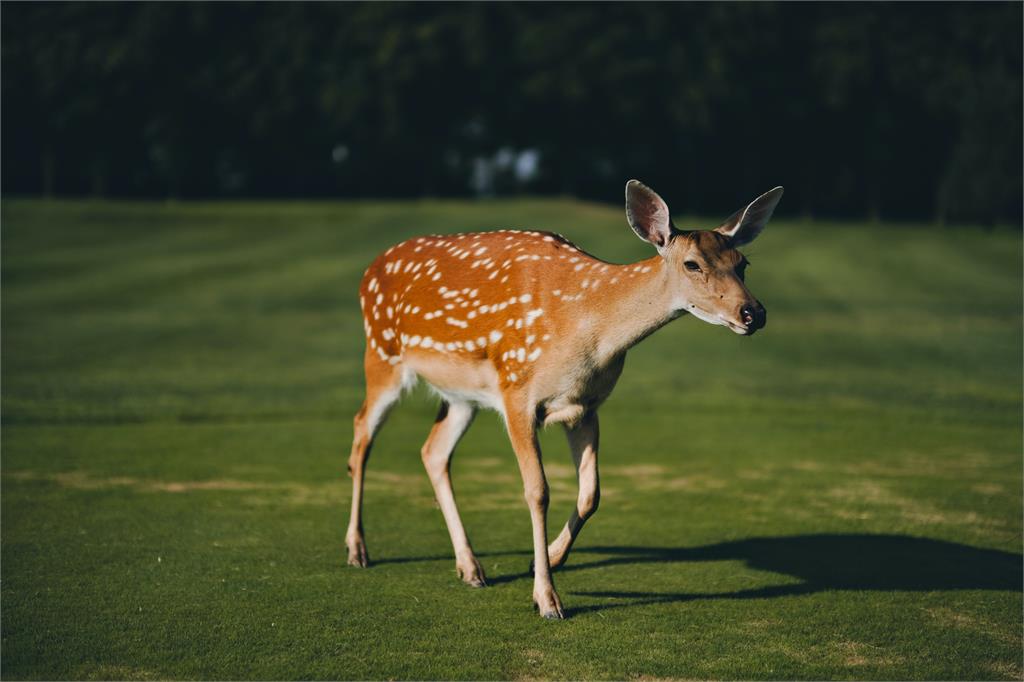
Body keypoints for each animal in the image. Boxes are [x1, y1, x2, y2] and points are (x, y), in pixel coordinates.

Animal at [344, 179, 782, 614]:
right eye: (692, 264)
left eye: (742, 263)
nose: (753, 313)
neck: (587, 330)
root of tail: (369, 270)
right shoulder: (516, 391)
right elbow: (537, 491)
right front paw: (546, 597)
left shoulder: (585, 405)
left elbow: (591, 494)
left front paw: (550, 559)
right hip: (382, 353)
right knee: (362, 432)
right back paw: (357, 550)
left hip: (461, 396)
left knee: (433, 451)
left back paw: (470, 568)